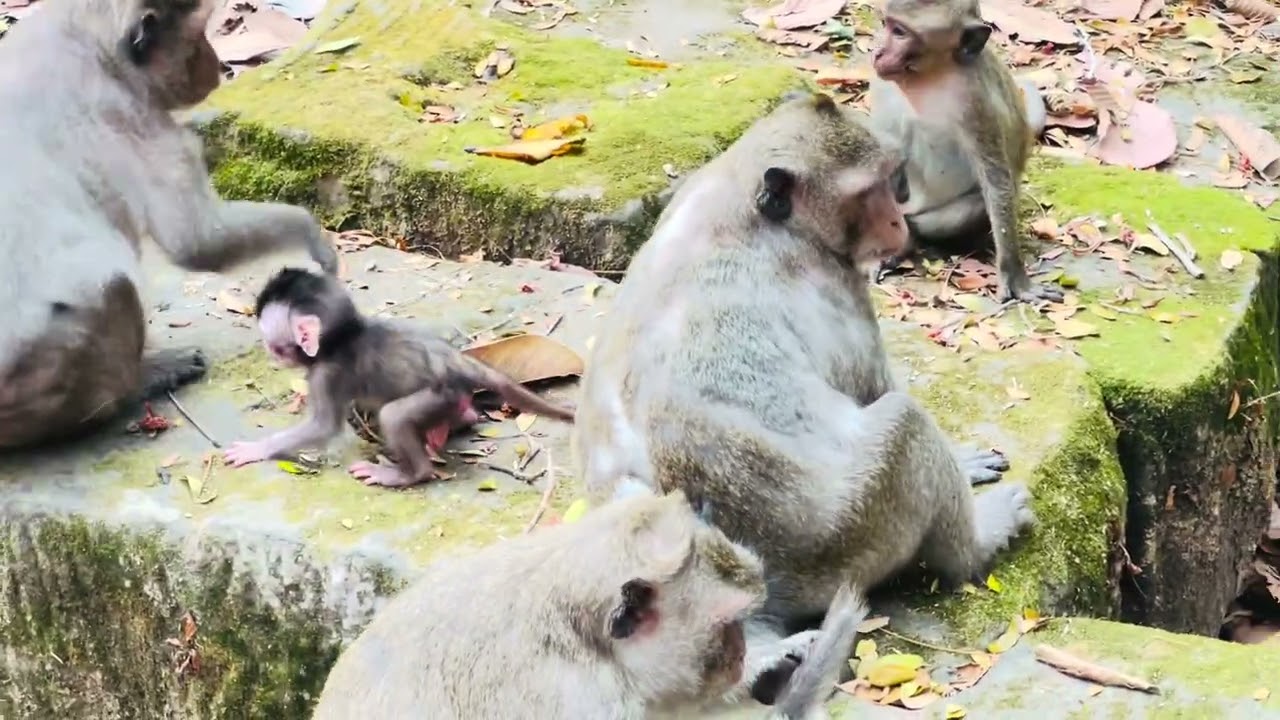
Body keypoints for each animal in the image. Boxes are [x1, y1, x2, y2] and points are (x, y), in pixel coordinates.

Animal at [0, 0, 339, 450]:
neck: (88, 37)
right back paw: (139, 384)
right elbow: (197, 240)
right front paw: (312, 235)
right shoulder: (136, 116)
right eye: (197, 38)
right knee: (114, 291)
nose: (218, 65)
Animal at [223, 267, 575, 488]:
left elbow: (323, 426)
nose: (271, 356)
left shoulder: (327, 373)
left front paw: (258, 449)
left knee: (394, 415)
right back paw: (457, 422)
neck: (341, 337)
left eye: (274, 347)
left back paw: (410, 473)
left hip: (439, 393)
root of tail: (456, 361)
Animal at [570, 91, 1036, 707]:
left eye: (893, 183)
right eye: (871, 190)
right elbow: (875, 387)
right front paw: (961, 460)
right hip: (849, 538)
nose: (898, 222)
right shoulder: (835, 283)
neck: (740, 202)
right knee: (903, 426)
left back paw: (764, 660)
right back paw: (978, 543)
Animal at [865, 0, 1063, 304]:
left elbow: (996, 181)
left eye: (900, 32)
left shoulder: (975, 101)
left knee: (976, 207)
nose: (878, 52)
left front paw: (1015, 277)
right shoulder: (883, 85)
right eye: (887, 24)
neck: (927, 79)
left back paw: (911, 238)